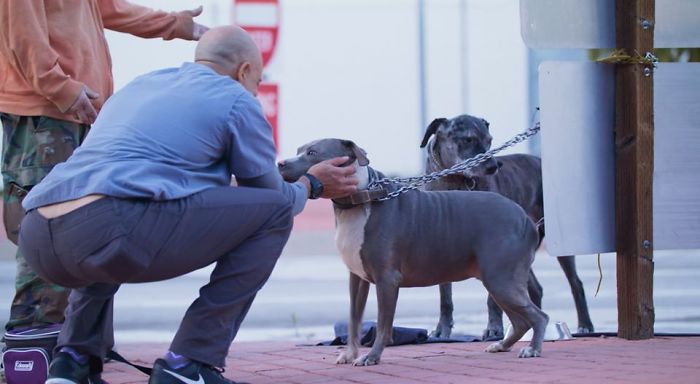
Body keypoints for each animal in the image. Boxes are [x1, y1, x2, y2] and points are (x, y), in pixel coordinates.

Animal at [278, 139, 548, 366]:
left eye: (312, 153)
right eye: (299, 149)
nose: (281, 163)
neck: (360, 199)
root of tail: (524, 218)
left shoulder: (387, 279)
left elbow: (383, 325)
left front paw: (371, 357)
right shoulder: (357, 279)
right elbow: (354, 320)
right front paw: (350, 354)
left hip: (500, 278)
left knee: (538, 317)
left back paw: (533, 349)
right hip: (498, 280)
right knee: (521, 321)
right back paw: (502, 345)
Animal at [418, 114, 592, 340]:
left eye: (489, 140)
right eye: (468, 139)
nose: (494, 166)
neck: (455, 180)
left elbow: (492, 298)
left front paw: (494, 328)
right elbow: (444, 295)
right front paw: (442, 328)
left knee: (576, 283)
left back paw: (584, 325)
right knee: (534, 289)